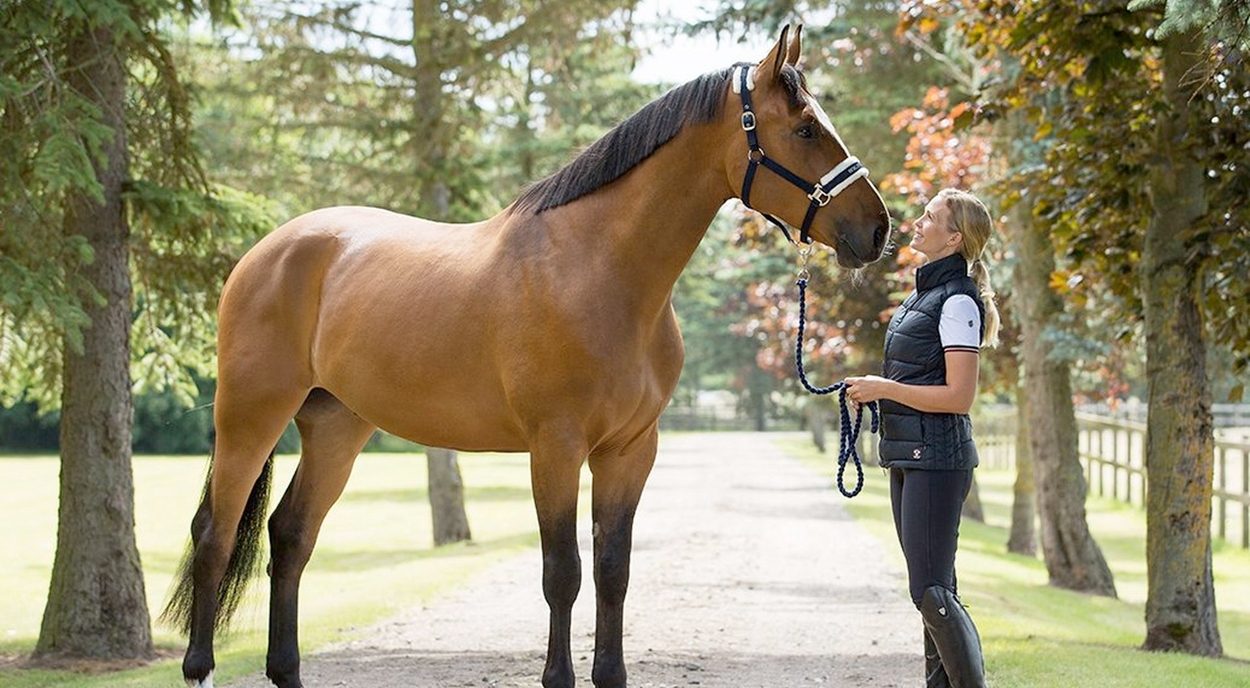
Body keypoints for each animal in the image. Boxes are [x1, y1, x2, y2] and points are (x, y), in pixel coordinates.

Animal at [164, 24, 889, 688]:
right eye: (804, 130)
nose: (877, 230)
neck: (598, 267)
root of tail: (268, 249)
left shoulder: (631, 450)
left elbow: (613, 571)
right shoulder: (556, 445)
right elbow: (562, 573)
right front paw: (559, 675)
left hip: (337, 425)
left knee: (290, 537)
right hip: (250, 416)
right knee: (214, 534)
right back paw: (198, 667)